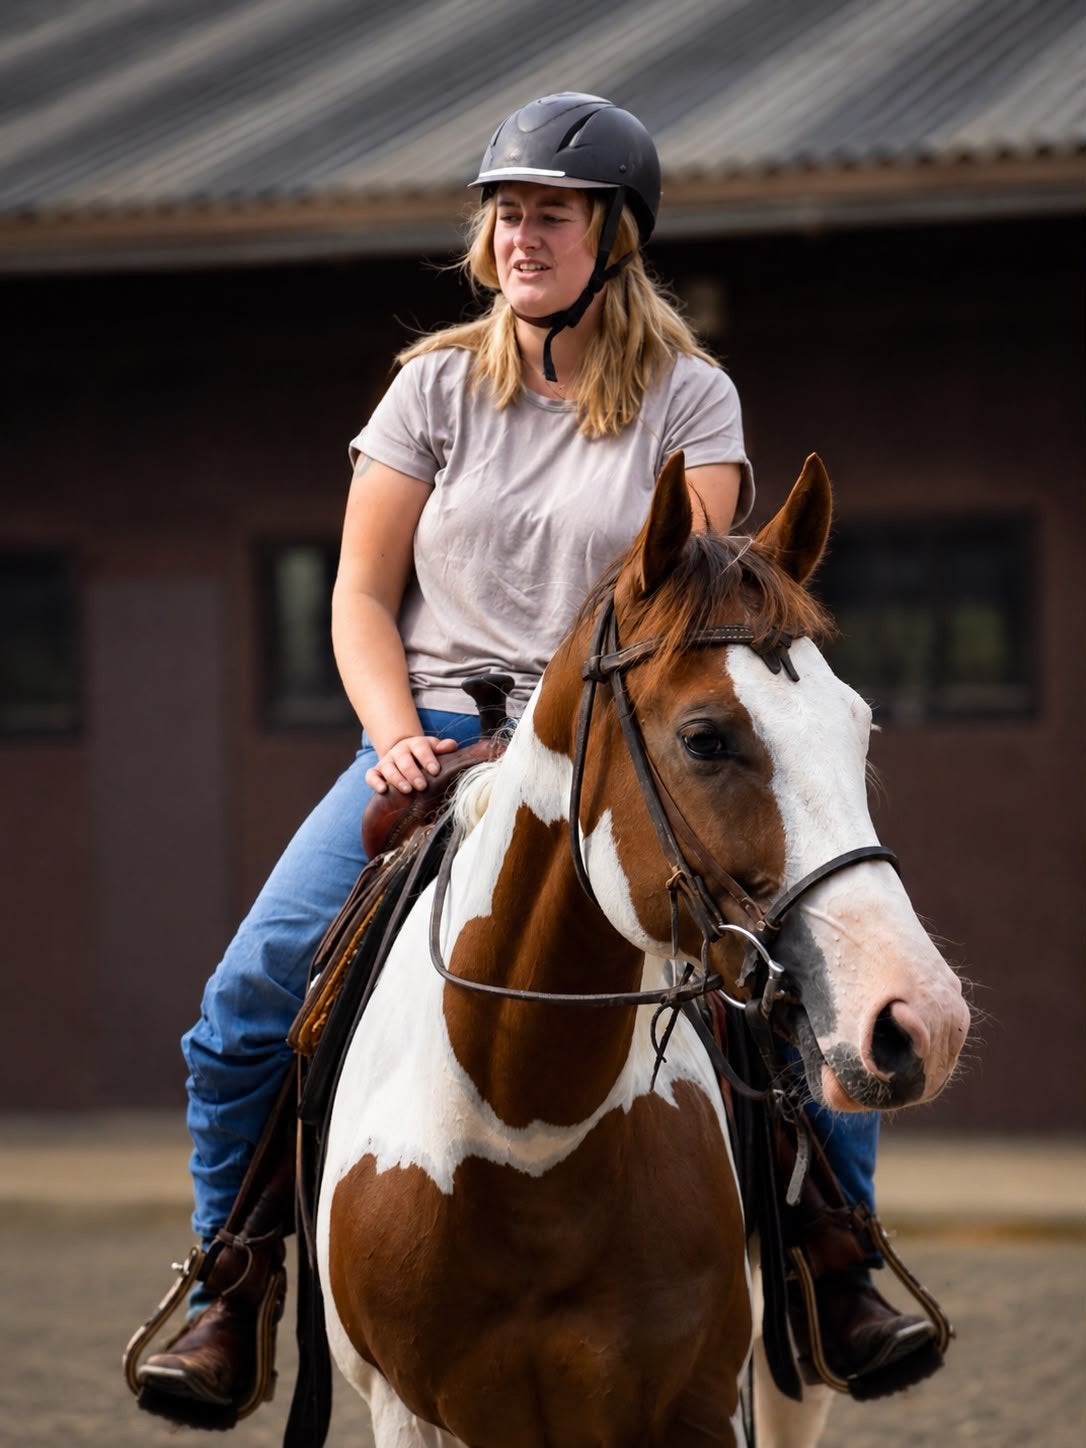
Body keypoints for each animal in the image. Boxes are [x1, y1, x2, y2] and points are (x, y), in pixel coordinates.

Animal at [314, 452, 970, 1448]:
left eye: (858, 726)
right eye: (705, 738)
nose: (921, 1019)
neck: (525, 1131)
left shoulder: (703, 1405)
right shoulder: (408, 1412)